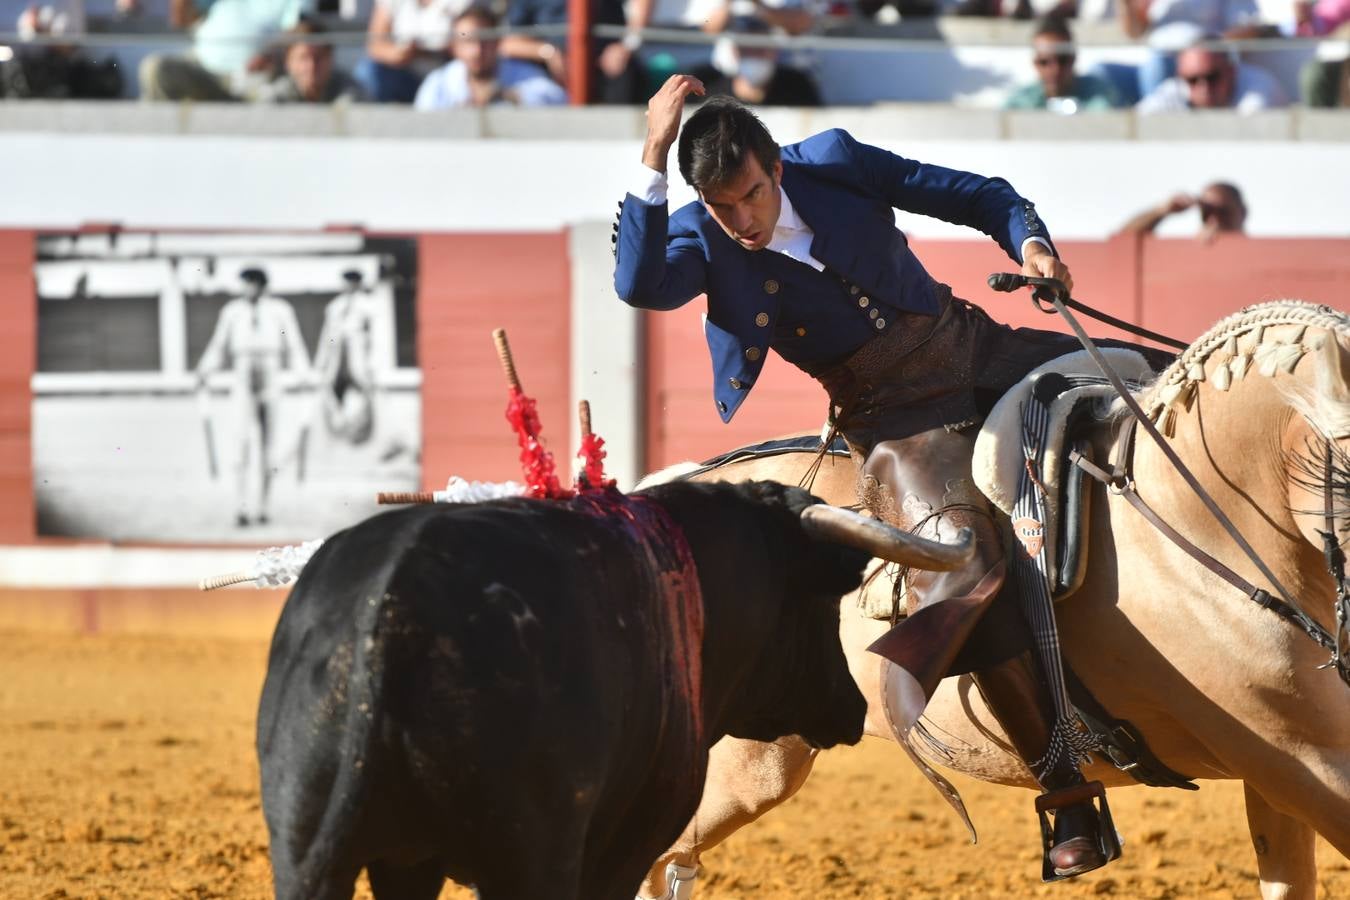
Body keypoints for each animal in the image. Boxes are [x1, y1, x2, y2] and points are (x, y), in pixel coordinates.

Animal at [253, 483, 961, 895]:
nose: (852, 706)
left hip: (305, 851)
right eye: (820, 606)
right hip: (532, 858)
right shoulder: (625, 845)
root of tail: (388, 612)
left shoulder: (408, 864)